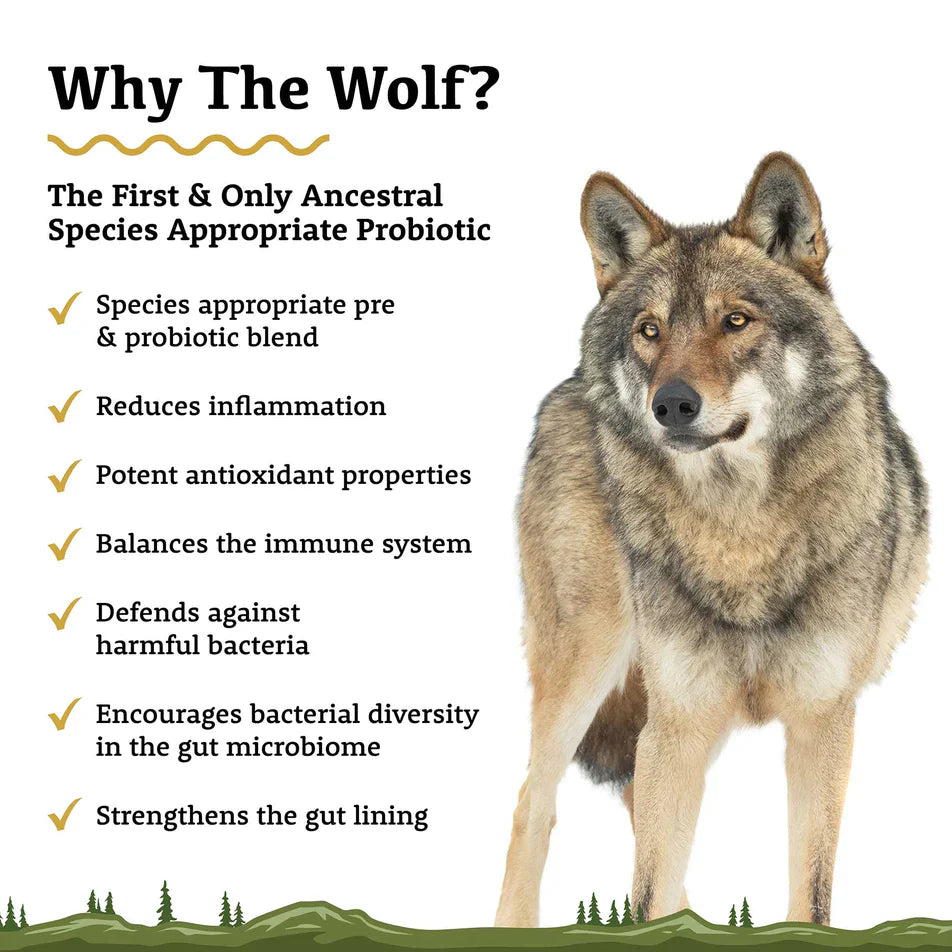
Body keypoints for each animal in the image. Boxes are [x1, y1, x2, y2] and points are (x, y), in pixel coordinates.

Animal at [495, 153, 928, 928]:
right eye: (649, 330)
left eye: (736, 321)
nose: (671, 404)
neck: (738, 533)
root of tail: (572, 385)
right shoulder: (681, 719)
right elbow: (645, 884)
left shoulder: (821, 723)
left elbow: (809, 892)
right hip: (588, 663)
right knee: (534, 805)